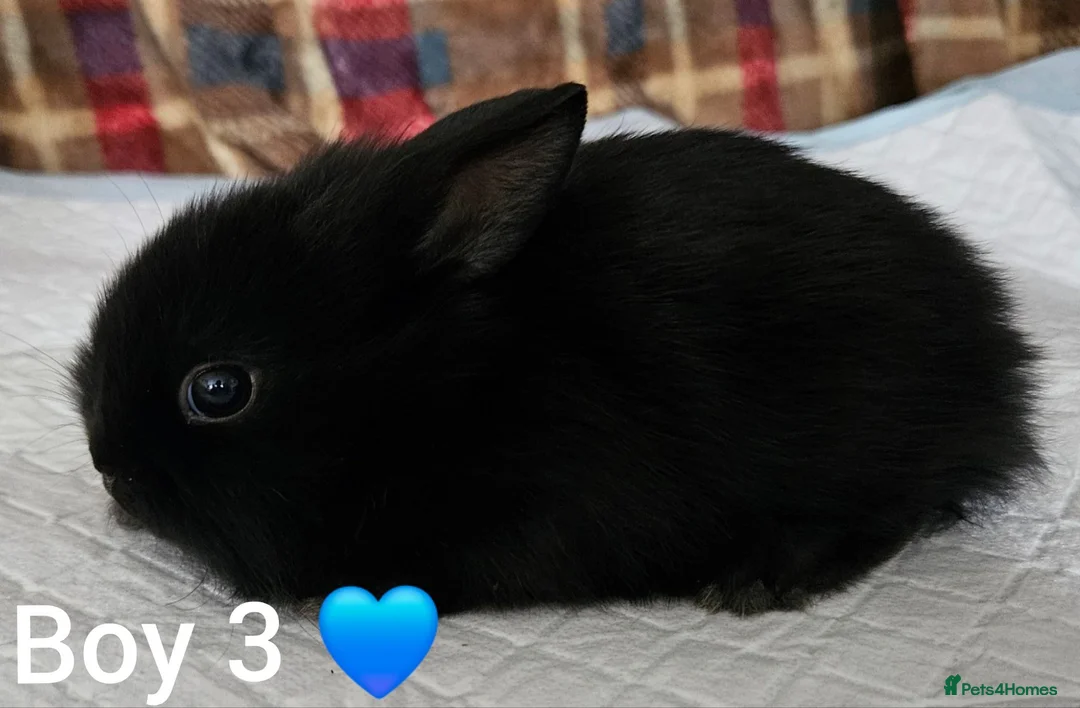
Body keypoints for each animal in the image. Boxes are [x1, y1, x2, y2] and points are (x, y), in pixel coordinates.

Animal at [70, 82, 1046, 617]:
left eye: (218, 389)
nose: (111, 471)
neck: (448, 385)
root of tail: (1000, 347)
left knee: (892, 511)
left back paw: (764, 577)